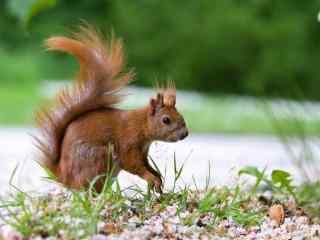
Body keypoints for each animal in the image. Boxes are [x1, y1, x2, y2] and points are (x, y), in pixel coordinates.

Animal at [35, 26, 188, 194]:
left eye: (181, 116)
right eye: (166, 120)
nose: (185, 134)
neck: (141, 124)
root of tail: (63, 177)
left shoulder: (142, 152)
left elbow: (146, 164)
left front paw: (157, 177)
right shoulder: (127, 143)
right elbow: (132, 164)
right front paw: (151, 178)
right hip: (99, 158)